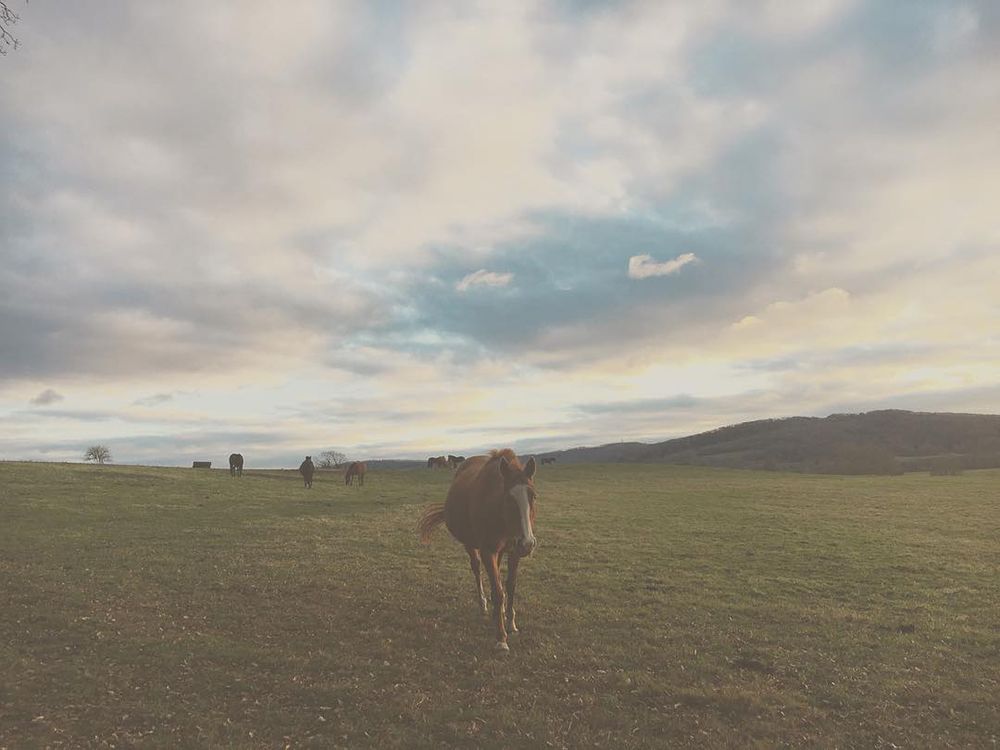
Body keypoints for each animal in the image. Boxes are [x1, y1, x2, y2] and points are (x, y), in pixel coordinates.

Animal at [416, 452, 540, 652]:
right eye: (508, 499)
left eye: (533, 496)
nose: (528, 543)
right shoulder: (487, 551)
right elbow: (498, 592)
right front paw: (501, 637)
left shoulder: (514, 551)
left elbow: (510, 586)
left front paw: (510, 622)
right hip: (470, 545)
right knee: (476, 569)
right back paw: (483, 604)